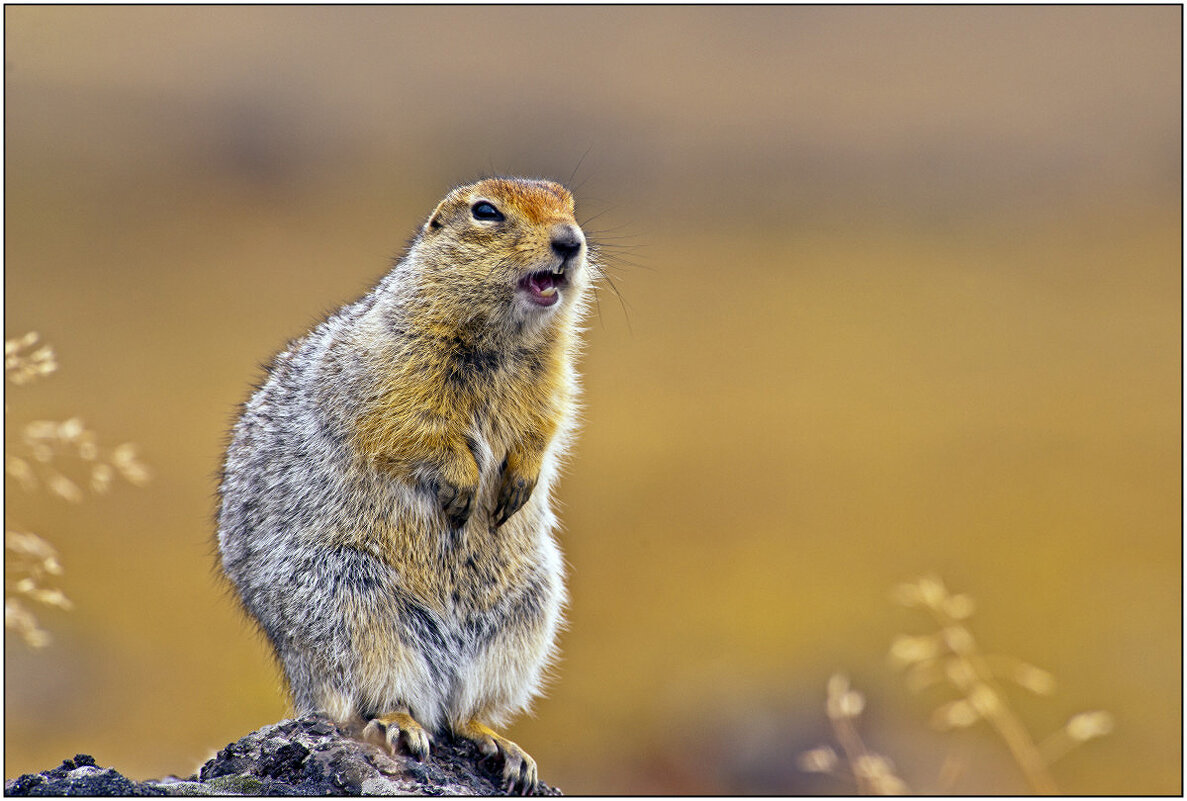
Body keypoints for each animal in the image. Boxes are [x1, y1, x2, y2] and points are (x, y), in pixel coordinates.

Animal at [217, 176, 593, 797]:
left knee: (463, 711)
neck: (504, 343)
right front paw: (463, 486)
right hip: (350, 604)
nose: (571, 241)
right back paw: (402, 724)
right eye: (486, 212)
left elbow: (547, 424)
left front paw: (519, 482)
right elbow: (411, 426)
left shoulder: (554, 379)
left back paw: (498, 744)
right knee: (369, 697)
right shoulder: (392, 368)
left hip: (525, 615)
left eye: (570, 204)